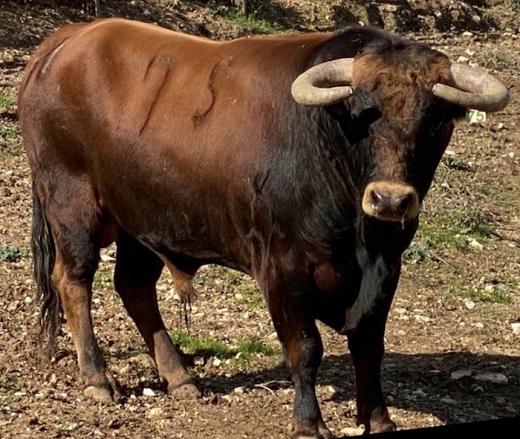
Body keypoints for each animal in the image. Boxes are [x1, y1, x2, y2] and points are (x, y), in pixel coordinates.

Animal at [18, 18, 510, 439]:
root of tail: (69, 38)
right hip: (72, 201)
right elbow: (306, 347)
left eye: (435, 120)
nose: (390, 199)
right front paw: (308, 422)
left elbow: (370, 346)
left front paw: (379, 419)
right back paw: (98, 378)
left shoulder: (387, 268)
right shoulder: (282, 268)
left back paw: (180, 376)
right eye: (361, 111)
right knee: (74, 280)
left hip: (140, 219)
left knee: (134, 287)